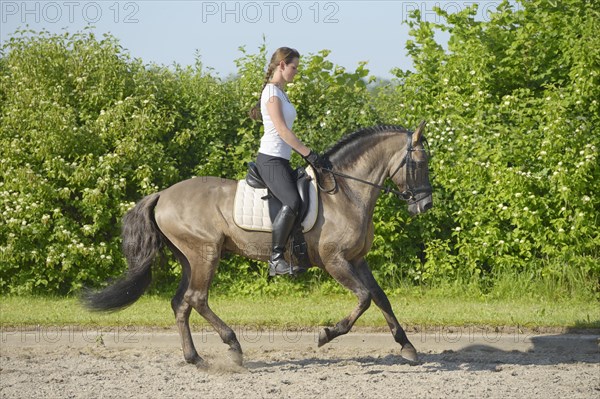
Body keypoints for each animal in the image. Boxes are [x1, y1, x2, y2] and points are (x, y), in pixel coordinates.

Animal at [83, 123, 432, 368]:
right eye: (419, 163)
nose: (425, 206)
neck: (345, 193)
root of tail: (162, 195)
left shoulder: (357, 260)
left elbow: (380, 297)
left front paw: (407, 346)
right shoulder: (335, 261)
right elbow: (363, 299)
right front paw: (326, 334)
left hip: (189, 258)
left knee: (181, 303)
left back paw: (195, 358)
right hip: (205, 254)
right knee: (196, 298)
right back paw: (234, 347)